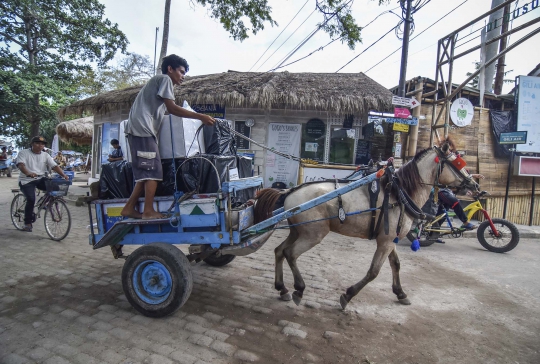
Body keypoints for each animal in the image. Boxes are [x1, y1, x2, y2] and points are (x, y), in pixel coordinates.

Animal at [253, 138, 476, 308]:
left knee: (280, 251)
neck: (399, 193)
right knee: (290, 254)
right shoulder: (385, 242)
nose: (474, 184)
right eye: (458, 164)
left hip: (298, 232)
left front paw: (400, 293)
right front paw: (348, 295)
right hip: (313, 235)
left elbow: (396, 264)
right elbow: (374, 272)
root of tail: (289, 192)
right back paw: (299, 289)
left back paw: (282, 288)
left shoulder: (390, 239)